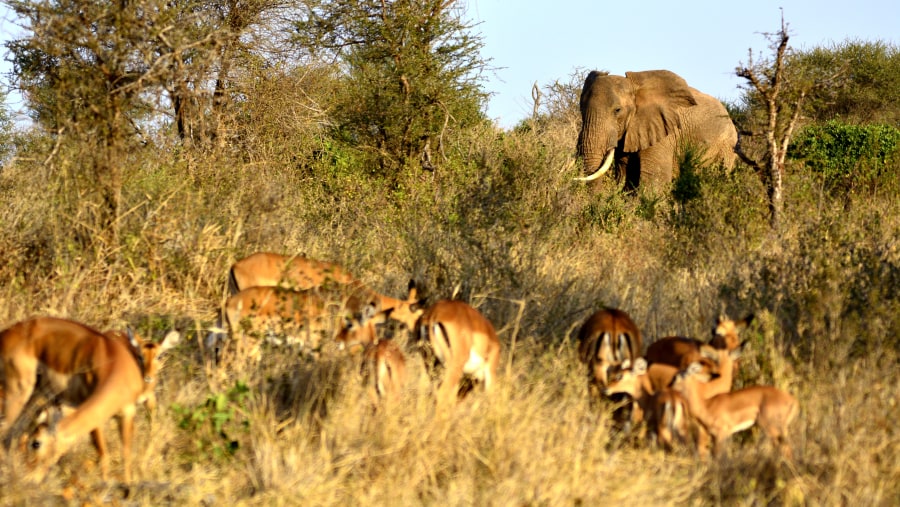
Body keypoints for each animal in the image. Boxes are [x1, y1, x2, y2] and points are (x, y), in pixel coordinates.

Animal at [0, 320, 179, 482]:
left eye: (36, 443)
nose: (29, 477)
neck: (115, 366)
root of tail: (6, 333)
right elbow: (103, 453)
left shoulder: (126, 412)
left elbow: (126, 453)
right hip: (19, 391)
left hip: (36, 393)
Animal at [576, 69, 740, 192]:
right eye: (581, 109)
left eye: (617, 110)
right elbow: (627, 178)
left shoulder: (665, 132)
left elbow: (654, 180)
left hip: (726, 147)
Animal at [668, 362, 800, 460]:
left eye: (676, 376)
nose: (668, 386)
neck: (707, 405)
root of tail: (792, 400)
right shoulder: (715, 436)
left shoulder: (721, 434)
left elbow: (719, 458)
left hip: (770, 427)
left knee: (786, 449)